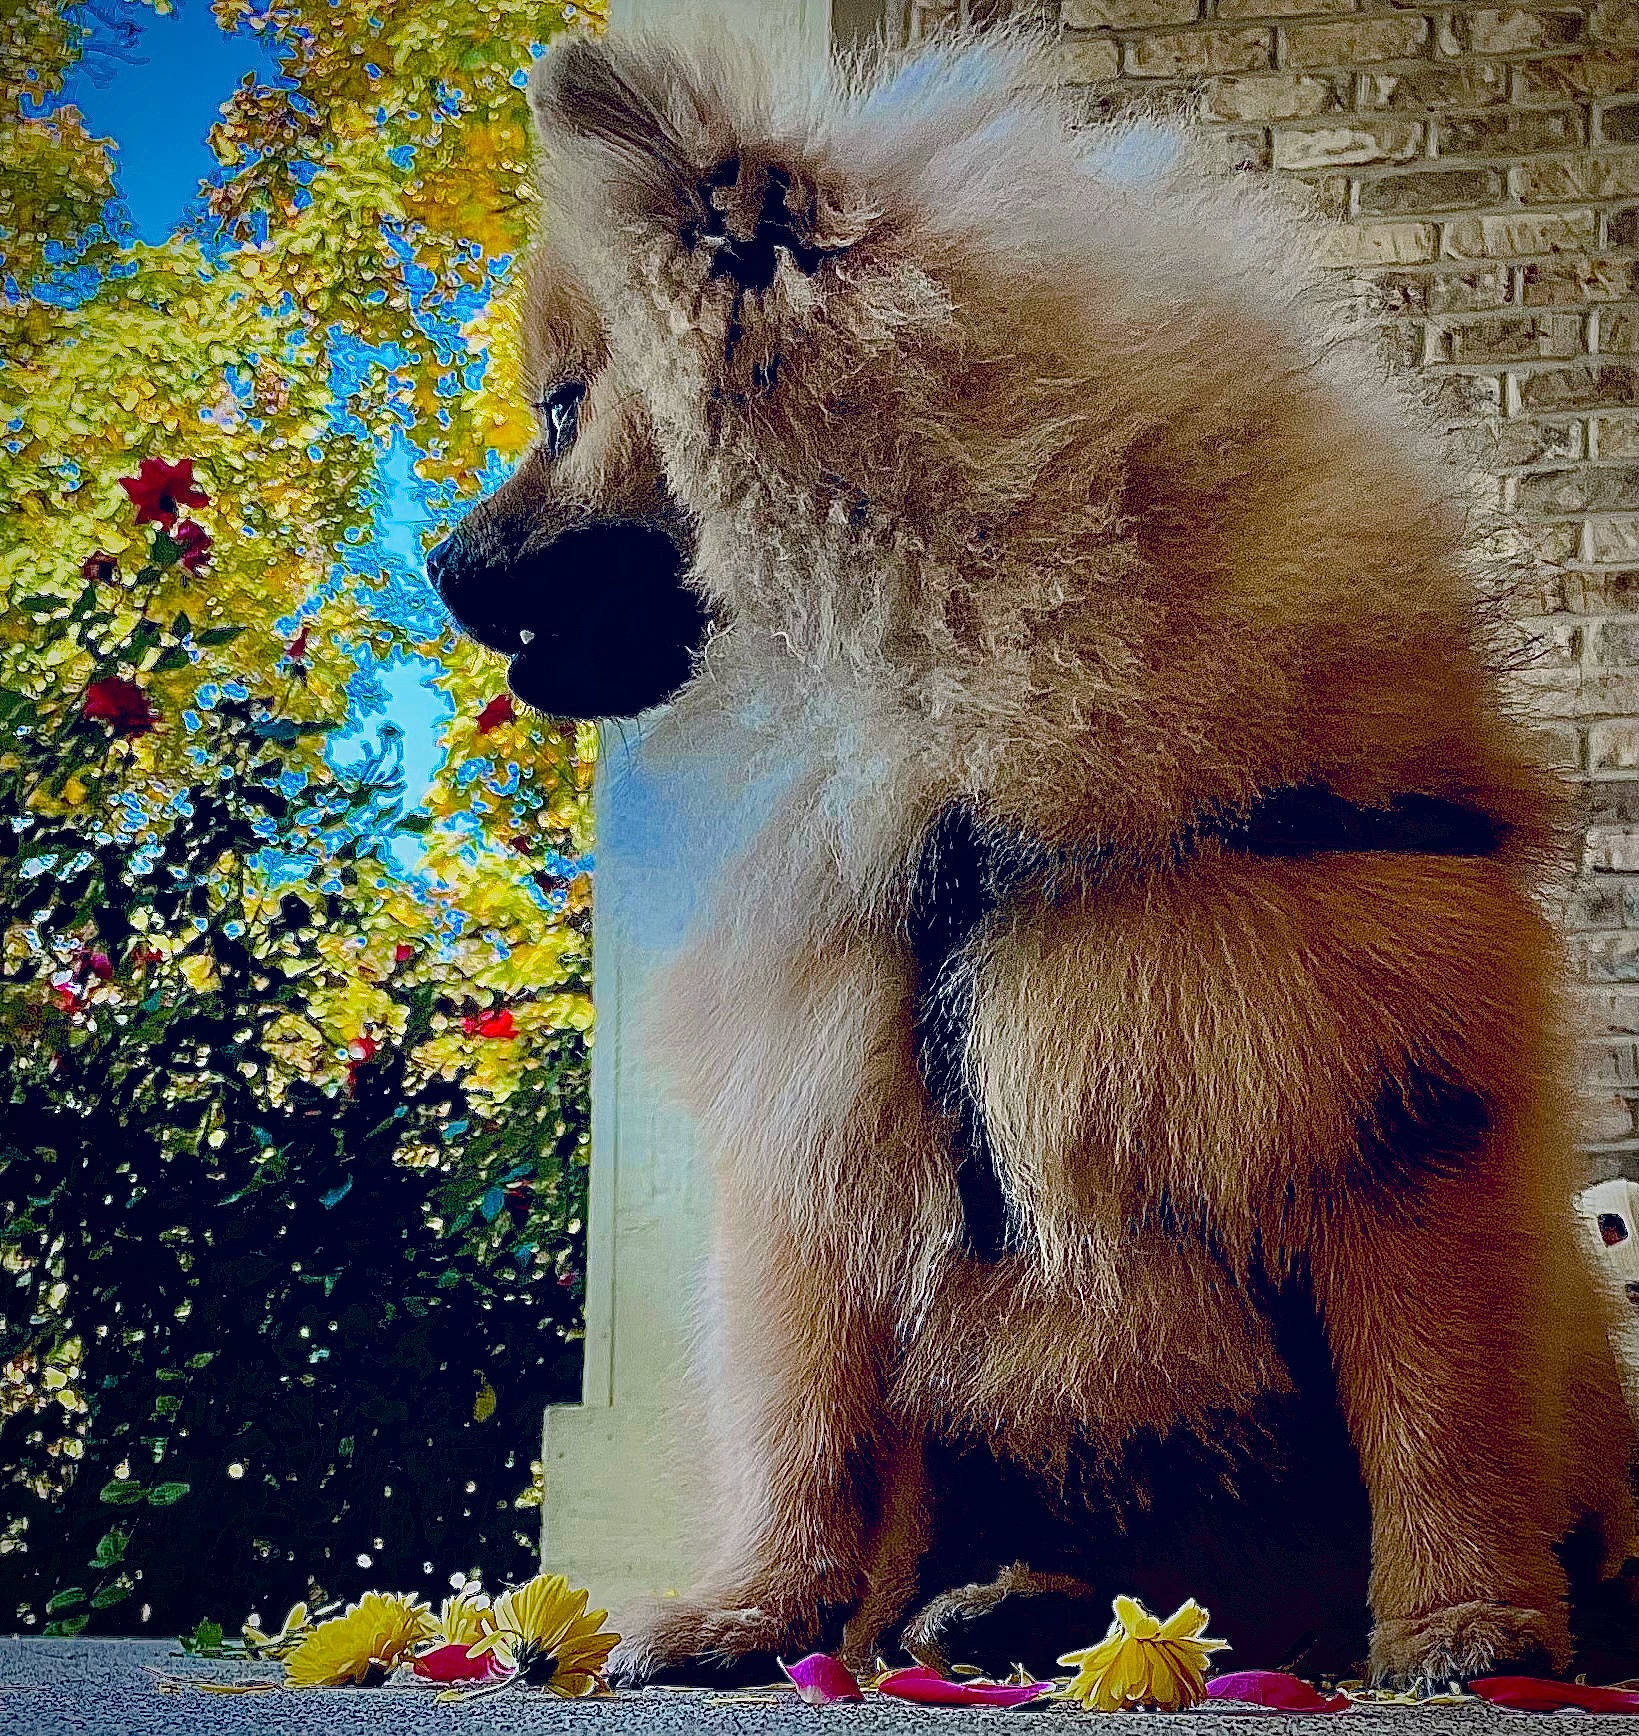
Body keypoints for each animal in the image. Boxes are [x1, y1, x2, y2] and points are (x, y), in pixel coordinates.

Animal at [429, 25, 1638, 1690]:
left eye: (559, 412)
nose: (436, 561)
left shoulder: (1372, 1102)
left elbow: (1432, 1414)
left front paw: (1465, 1624)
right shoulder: (821, 1120)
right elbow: (803, 1427)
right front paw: (750, 1616)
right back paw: (1001, 1608)